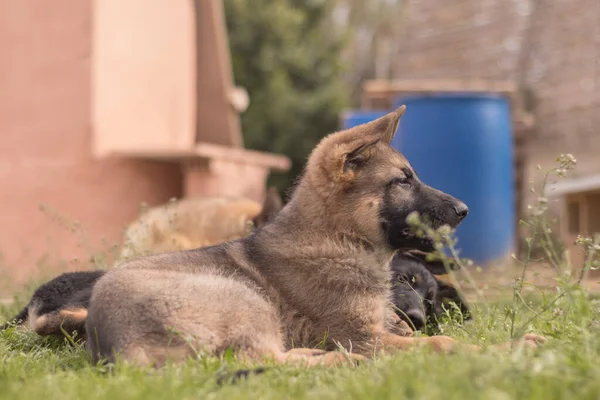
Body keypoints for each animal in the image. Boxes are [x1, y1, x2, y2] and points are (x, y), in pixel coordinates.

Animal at [85, 106, 548, 368]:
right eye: (403, 180)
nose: (465, 210)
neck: (338, 241)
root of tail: (119, 343)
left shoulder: (391, 331)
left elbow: (434, 337)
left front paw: (515, 342)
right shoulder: (365, 336)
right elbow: (443, 343)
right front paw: (496, 353)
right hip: (245, 299)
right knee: (264, 361)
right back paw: (336, 362)